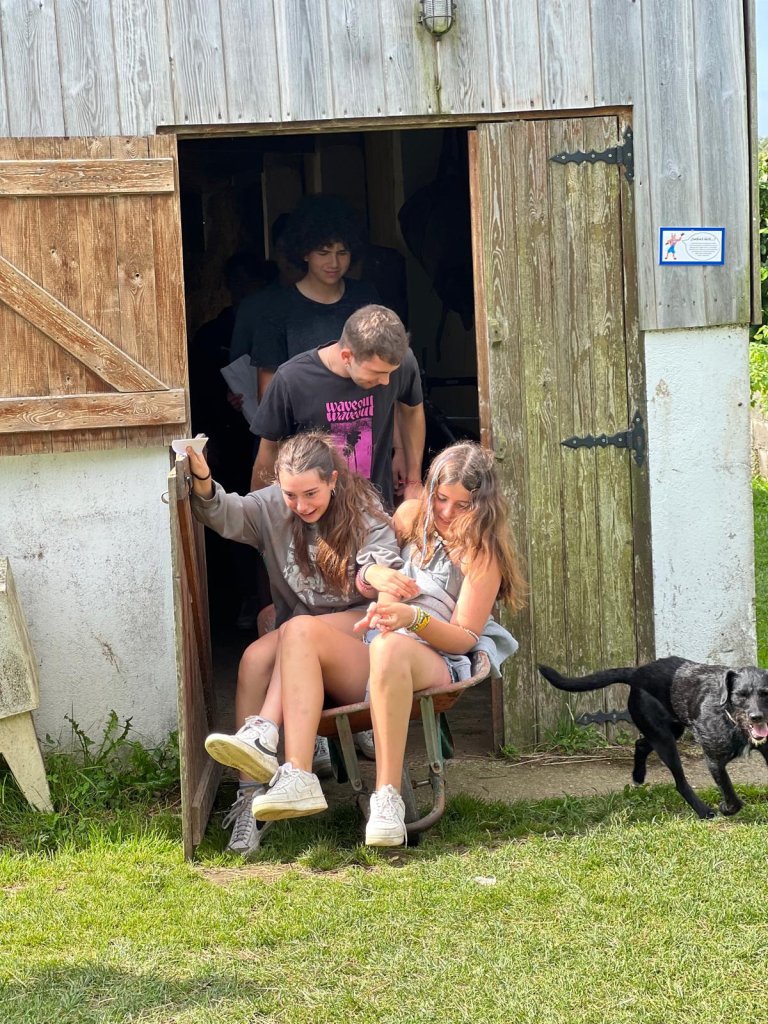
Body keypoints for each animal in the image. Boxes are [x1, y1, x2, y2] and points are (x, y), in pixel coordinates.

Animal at [538, 657, 768, 819]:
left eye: (765, 693)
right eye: (741, 695)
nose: (757, 716)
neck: (730, 719)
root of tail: (638, 672)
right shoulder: (714, 761)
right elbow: (730, 794)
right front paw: (726, 808)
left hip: (669, 731)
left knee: (641, 743)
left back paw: (638, 775)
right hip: (665, 740)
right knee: (680, 782)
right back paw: (703, 811)